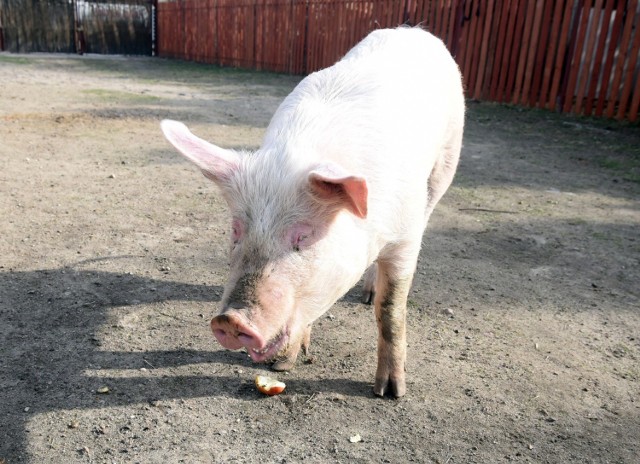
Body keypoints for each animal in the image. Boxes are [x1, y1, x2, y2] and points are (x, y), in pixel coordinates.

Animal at [159, 26, 460, 398]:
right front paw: (283, 366)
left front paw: (391, 392)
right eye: (237, 230)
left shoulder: (405, 235)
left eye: (304, 235)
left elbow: (391, 310)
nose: (229, 320)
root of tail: (412, 30)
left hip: (445, 164)